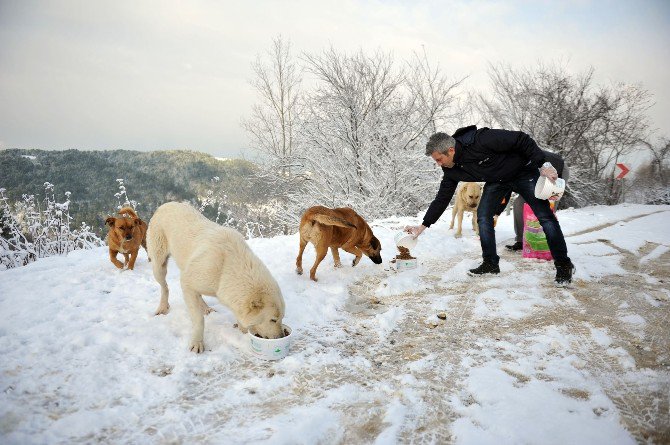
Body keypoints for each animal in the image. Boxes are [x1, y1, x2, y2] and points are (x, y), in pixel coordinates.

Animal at [147, 202, 286, 354]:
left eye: (282, 318)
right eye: (273, 320)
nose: (282, 336)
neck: (226, 268)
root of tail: (166, 205)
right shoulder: (187, 283)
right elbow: (199, 320)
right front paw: (197, 343)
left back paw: (206, 308)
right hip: (159, 266)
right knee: (164, 286)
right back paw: (163, 307)